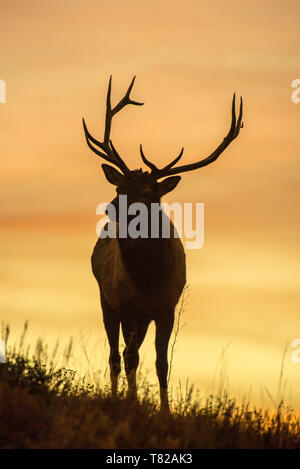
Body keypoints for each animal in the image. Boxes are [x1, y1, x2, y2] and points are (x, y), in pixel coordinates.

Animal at [82, 77, 244, 410]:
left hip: (142, 317)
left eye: (147, 192)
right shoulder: (127, 304)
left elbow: (161, 363)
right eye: (119, 187)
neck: (150, 279)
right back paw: (116, 397)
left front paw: (165, 412)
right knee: (116, 355)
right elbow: (130, 357)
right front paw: (131, 402)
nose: (111, 208)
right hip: (106, 300)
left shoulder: (167, 307)